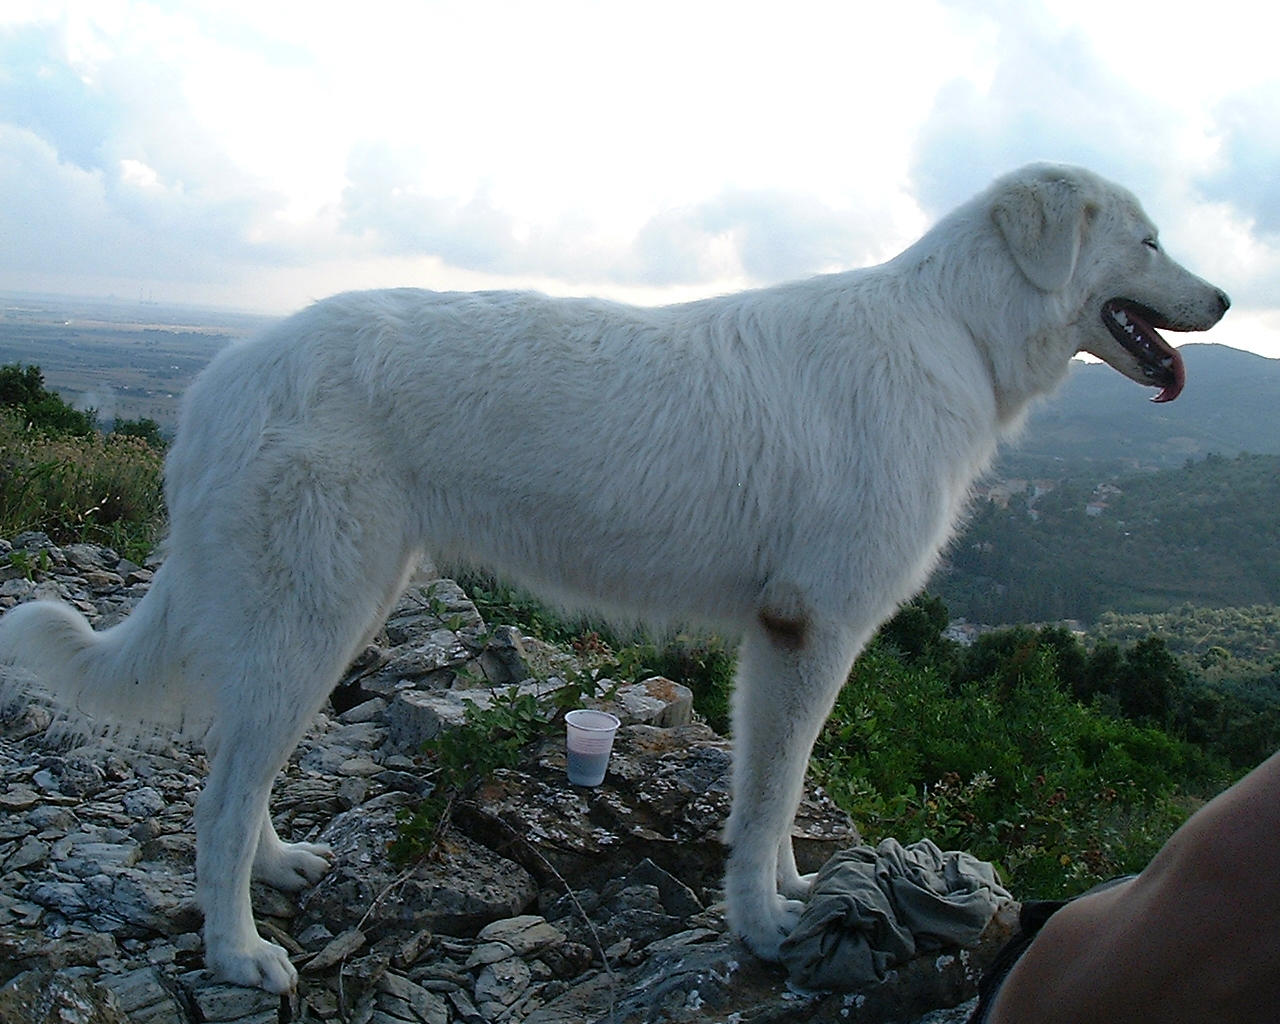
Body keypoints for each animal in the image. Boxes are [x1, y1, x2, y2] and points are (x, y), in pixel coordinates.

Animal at [0, 166, 1228, 993]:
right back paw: (236, 952)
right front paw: (766, 930)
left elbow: (778, 791)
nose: (1221, 302)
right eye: (1149, 239)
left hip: (328, 613)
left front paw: (790, 892)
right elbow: (771, 791)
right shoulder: (810, 628)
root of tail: (222, 376)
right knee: (217, 797)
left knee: (241, 772)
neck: (956, 329)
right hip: (314, 608)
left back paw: (278, 870)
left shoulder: (782, 636)